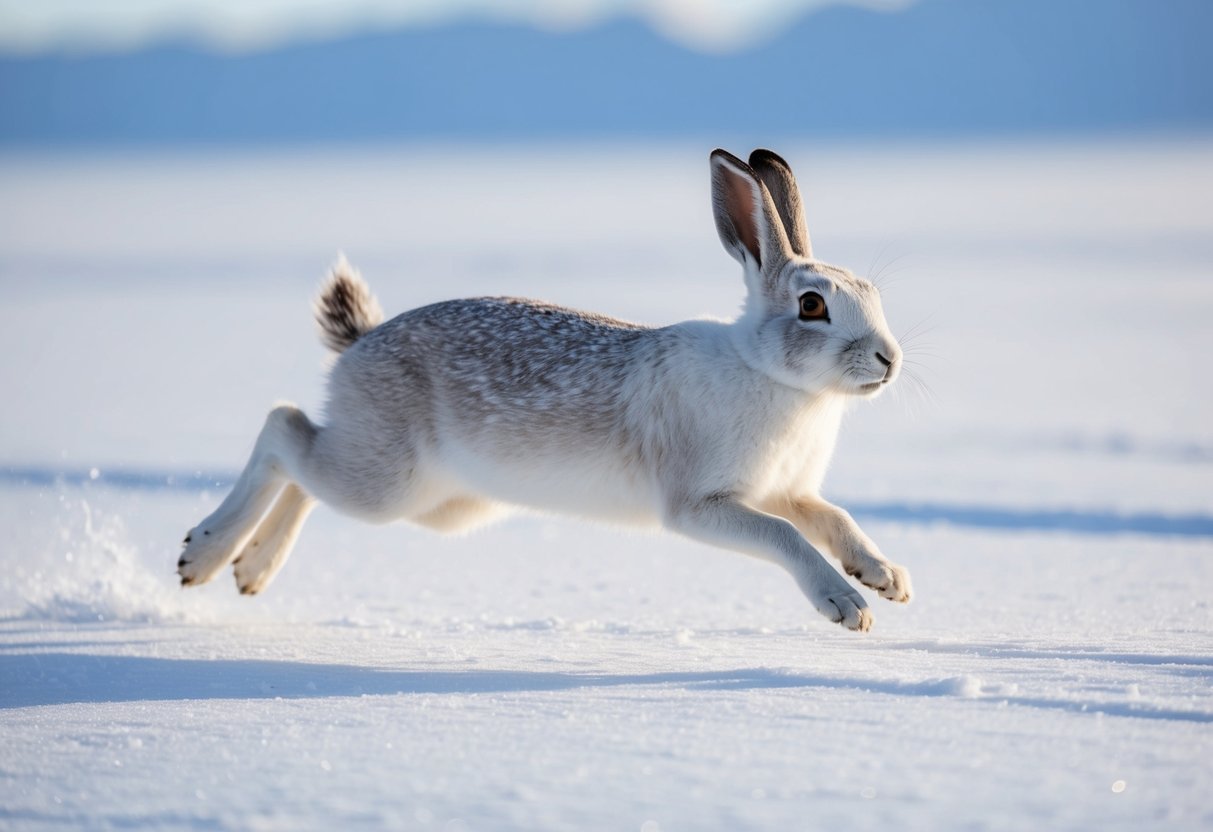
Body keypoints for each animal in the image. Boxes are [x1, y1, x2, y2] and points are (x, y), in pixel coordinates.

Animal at [177, 148, 912, 632]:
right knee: (283, 428)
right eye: (812, 306)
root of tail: (359, 344)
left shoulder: (789, 490)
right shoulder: (701, 505)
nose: (889, 359)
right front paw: (845, 607)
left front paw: (885, 578)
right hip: (386, 480)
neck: (771, 372)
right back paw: (205, 555)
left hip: (435, 503)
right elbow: (784, 537)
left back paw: (251, 570)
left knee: (304, 462)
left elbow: (830, 518)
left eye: (872, 295)